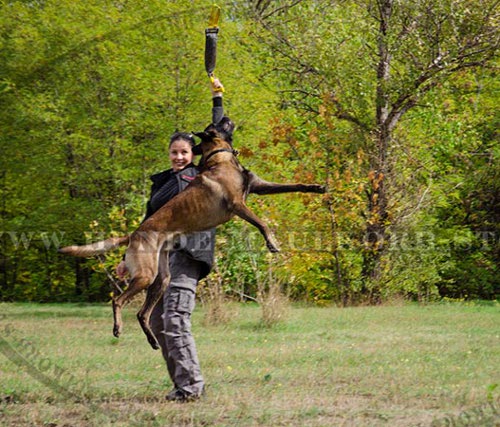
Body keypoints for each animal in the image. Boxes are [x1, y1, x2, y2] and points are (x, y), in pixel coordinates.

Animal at [59, 115, 324, 350]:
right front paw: (272, 242)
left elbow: (294, 185)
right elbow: (262, 224)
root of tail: (134, 234)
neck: (221, 157)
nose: (225, 115)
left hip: (161, 278)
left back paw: (153, 341)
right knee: (118, 300)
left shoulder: (259, 186)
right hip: (145, 275)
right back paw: (118, 328)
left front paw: (317, 186)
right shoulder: (238, 205)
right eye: (216, 124)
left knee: (142, 313)